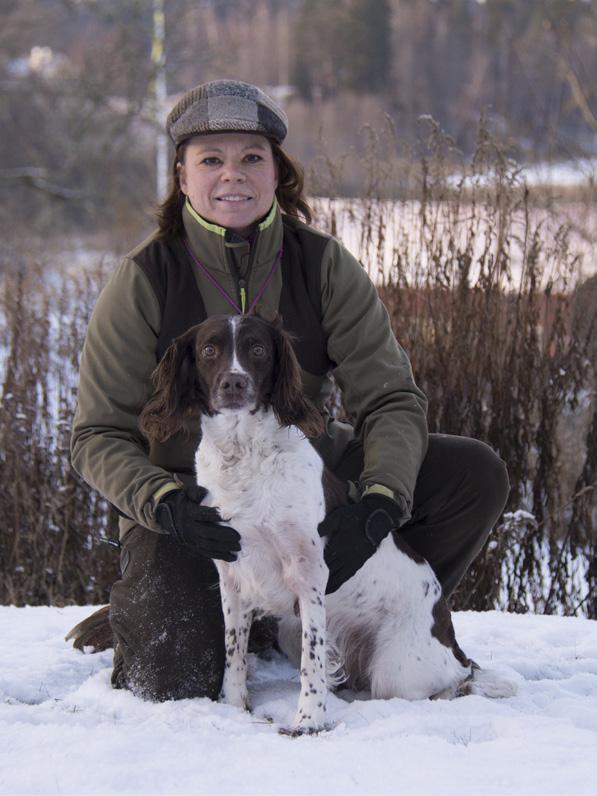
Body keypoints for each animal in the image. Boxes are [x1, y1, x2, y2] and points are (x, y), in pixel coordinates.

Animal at [70, 79, 508, 704]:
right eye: (209, 350)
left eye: (256, 349)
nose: (233, 383)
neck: (244, 453)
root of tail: (453, 644)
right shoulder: (231, 569)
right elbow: (232, 658)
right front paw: (234, 710)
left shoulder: (309, 578)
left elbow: (310, 668)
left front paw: (306, 717)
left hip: (400, 671)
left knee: (440, 683)